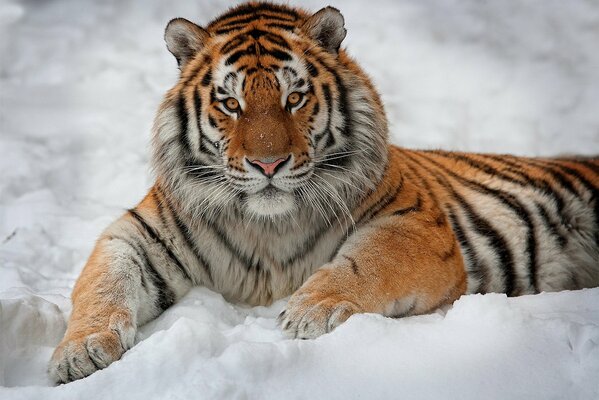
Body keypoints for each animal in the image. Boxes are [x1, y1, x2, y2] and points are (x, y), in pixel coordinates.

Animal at [48, 2, 599, 384]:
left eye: (294, 97)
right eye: (230, 103)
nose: (268, 164)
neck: (266, 225)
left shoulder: (415, 223)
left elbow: (368, 262)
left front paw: (310, 310)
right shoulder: (136, 234)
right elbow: (101, 285)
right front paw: (79, 352)